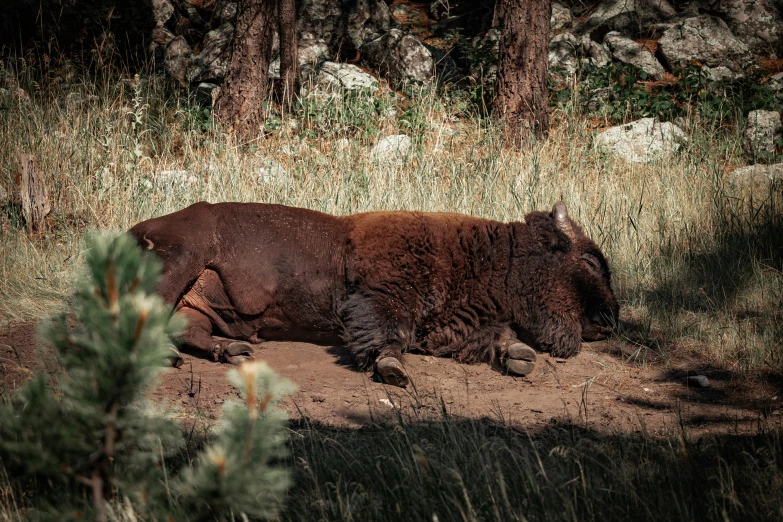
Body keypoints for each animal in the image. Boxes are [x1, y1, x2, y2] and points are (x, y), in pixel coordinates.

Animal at [130, 201, 620, 384]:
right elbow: (386, 333)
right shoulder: (382, 300)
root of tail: (138, 228)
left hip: (200, 301)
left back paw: (230, 352)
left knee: (189, 330)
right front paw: (392, 370)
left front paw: (519, 356)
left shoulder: (446, 328)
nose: (611, 319)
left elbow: (492, 337)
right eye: (591, 261)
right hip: (182, 261)